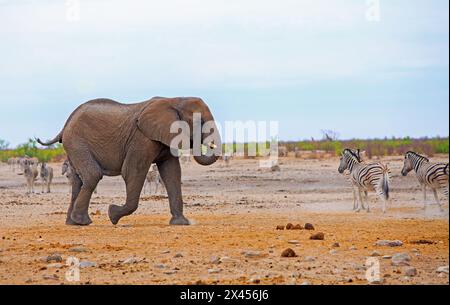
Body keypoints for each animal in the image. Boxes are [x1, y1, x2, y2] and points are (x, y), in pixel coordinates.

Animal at [37, 97, 221, 226]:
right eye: (199, 122)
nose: (203, 143)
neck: (175, 100)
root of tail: (65, 124)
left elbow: (172, 174)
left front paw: (181, 223)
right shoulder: (141, 139)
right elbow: (133, 172)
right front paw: (112, 214)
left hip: (73, 146)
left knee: (77, 181)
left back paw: (73, 223)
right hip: (76, 142)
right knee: (92, 175)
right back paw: (83, 222)